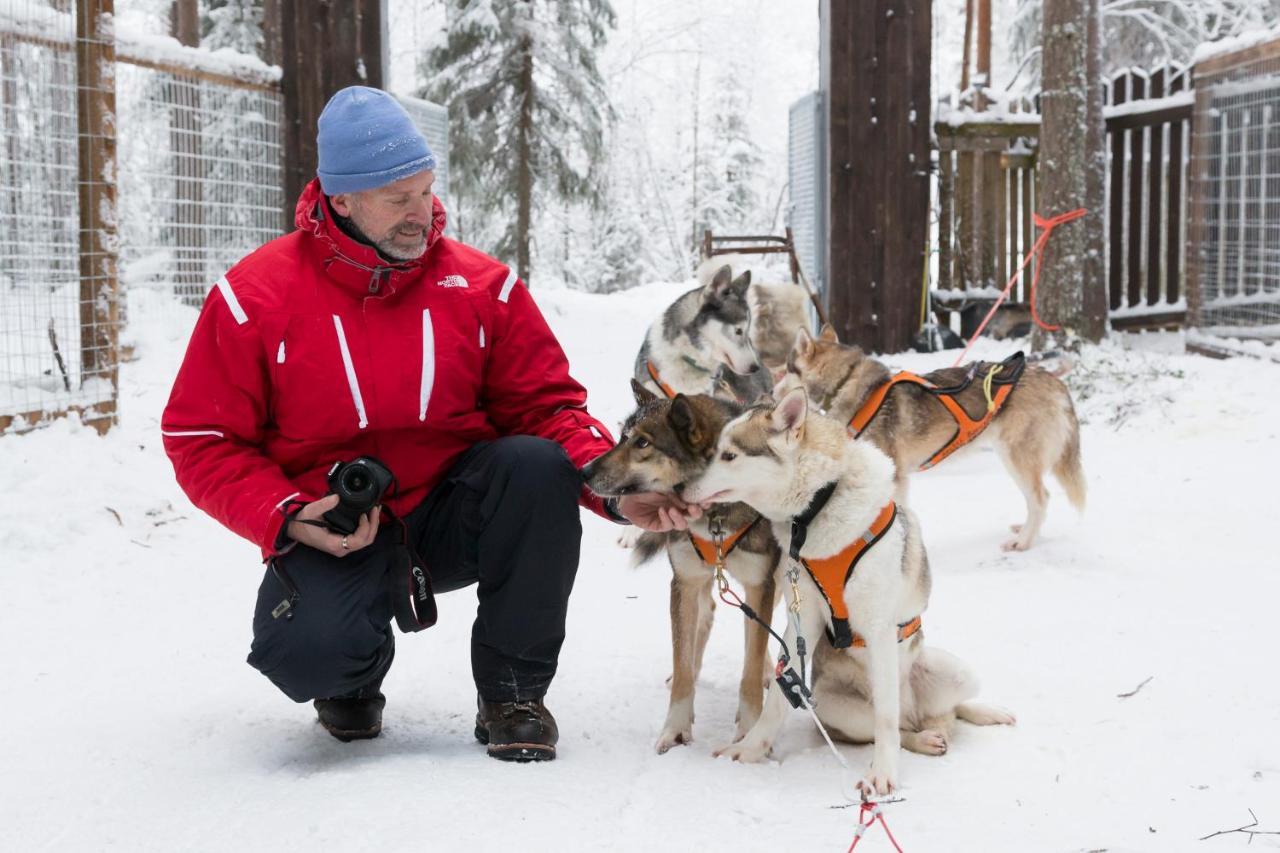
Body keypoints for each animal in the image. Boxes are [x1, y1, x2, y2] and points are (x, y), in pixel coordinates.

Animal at [581, 384, 778, 753]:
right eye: (622, 436)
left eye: (643, 443)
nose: (582, 472)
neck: (715, 514)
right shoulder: (684, 581)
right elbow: (683, 667)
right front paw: (675, 729)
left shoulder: (761, 583)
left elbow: (750, 664)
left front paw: (747, 730)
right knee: (708, 613)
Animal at [686, 389, 1013, 794]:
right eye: (714, 451)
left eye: (729, 456)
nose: (681, 488)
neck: (818, 505)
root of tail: (916, 711)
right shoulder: (803, 620)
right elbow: (777, 697)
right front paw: (749, 749)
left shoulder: (879, 629)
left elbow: (886, 720)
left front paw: (883, 774)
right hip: (832, 706)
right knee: (903, 727)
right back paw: (925, 737)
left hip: (957, 671)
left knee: (928, 713)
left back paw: (981, 713)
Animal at [773, 322, 1085, 548]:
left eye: (787, 369)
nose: (773, 393)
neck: (846, 383)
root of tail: (1052, 378)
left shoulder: (895, 477)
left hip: (1016, 457)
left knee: (1041, 498)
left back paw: (1024, 541)